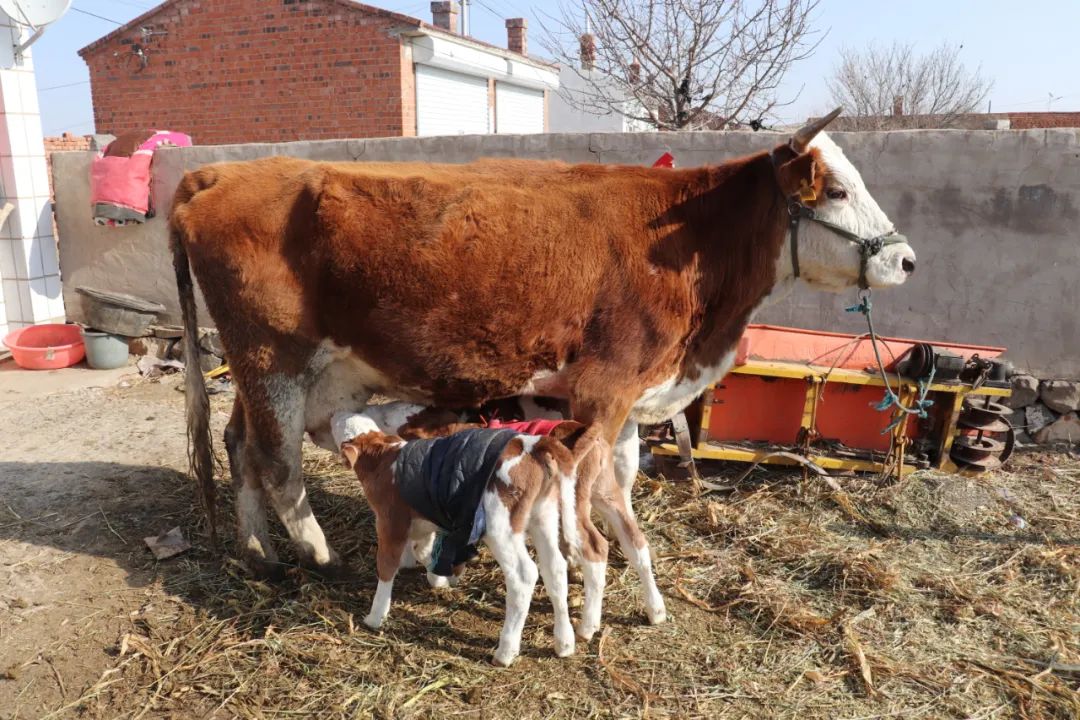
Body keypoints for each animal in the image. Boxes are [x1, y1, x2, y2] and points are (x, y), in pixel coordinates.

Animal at [168, 111, 911, 574]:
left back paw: (259, 552)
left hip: (271, 369)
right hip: (274, 357)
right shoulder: (603, 390)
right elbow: (586, 484)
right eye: (836, 190)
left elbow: (620, 479)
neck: (686, 240)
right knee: (277, 458)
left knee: (238, 443)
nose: (905, 260)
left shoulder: (629, 401)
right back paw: (317, 553)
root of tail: (221, 173)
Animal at [336, 414, 613, 669]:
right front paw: (439, 577)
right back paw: (565, 642)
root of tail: (532, 445)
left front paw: (375, 616)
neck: (384, 459)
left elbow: (387, 564)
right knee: (555, 568)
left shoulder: (390, 520)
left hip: (501, 527)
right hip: (543, 516)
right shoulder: (428, 517)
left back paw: (506, 651)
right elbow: (424, 548)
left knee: (525, 575)